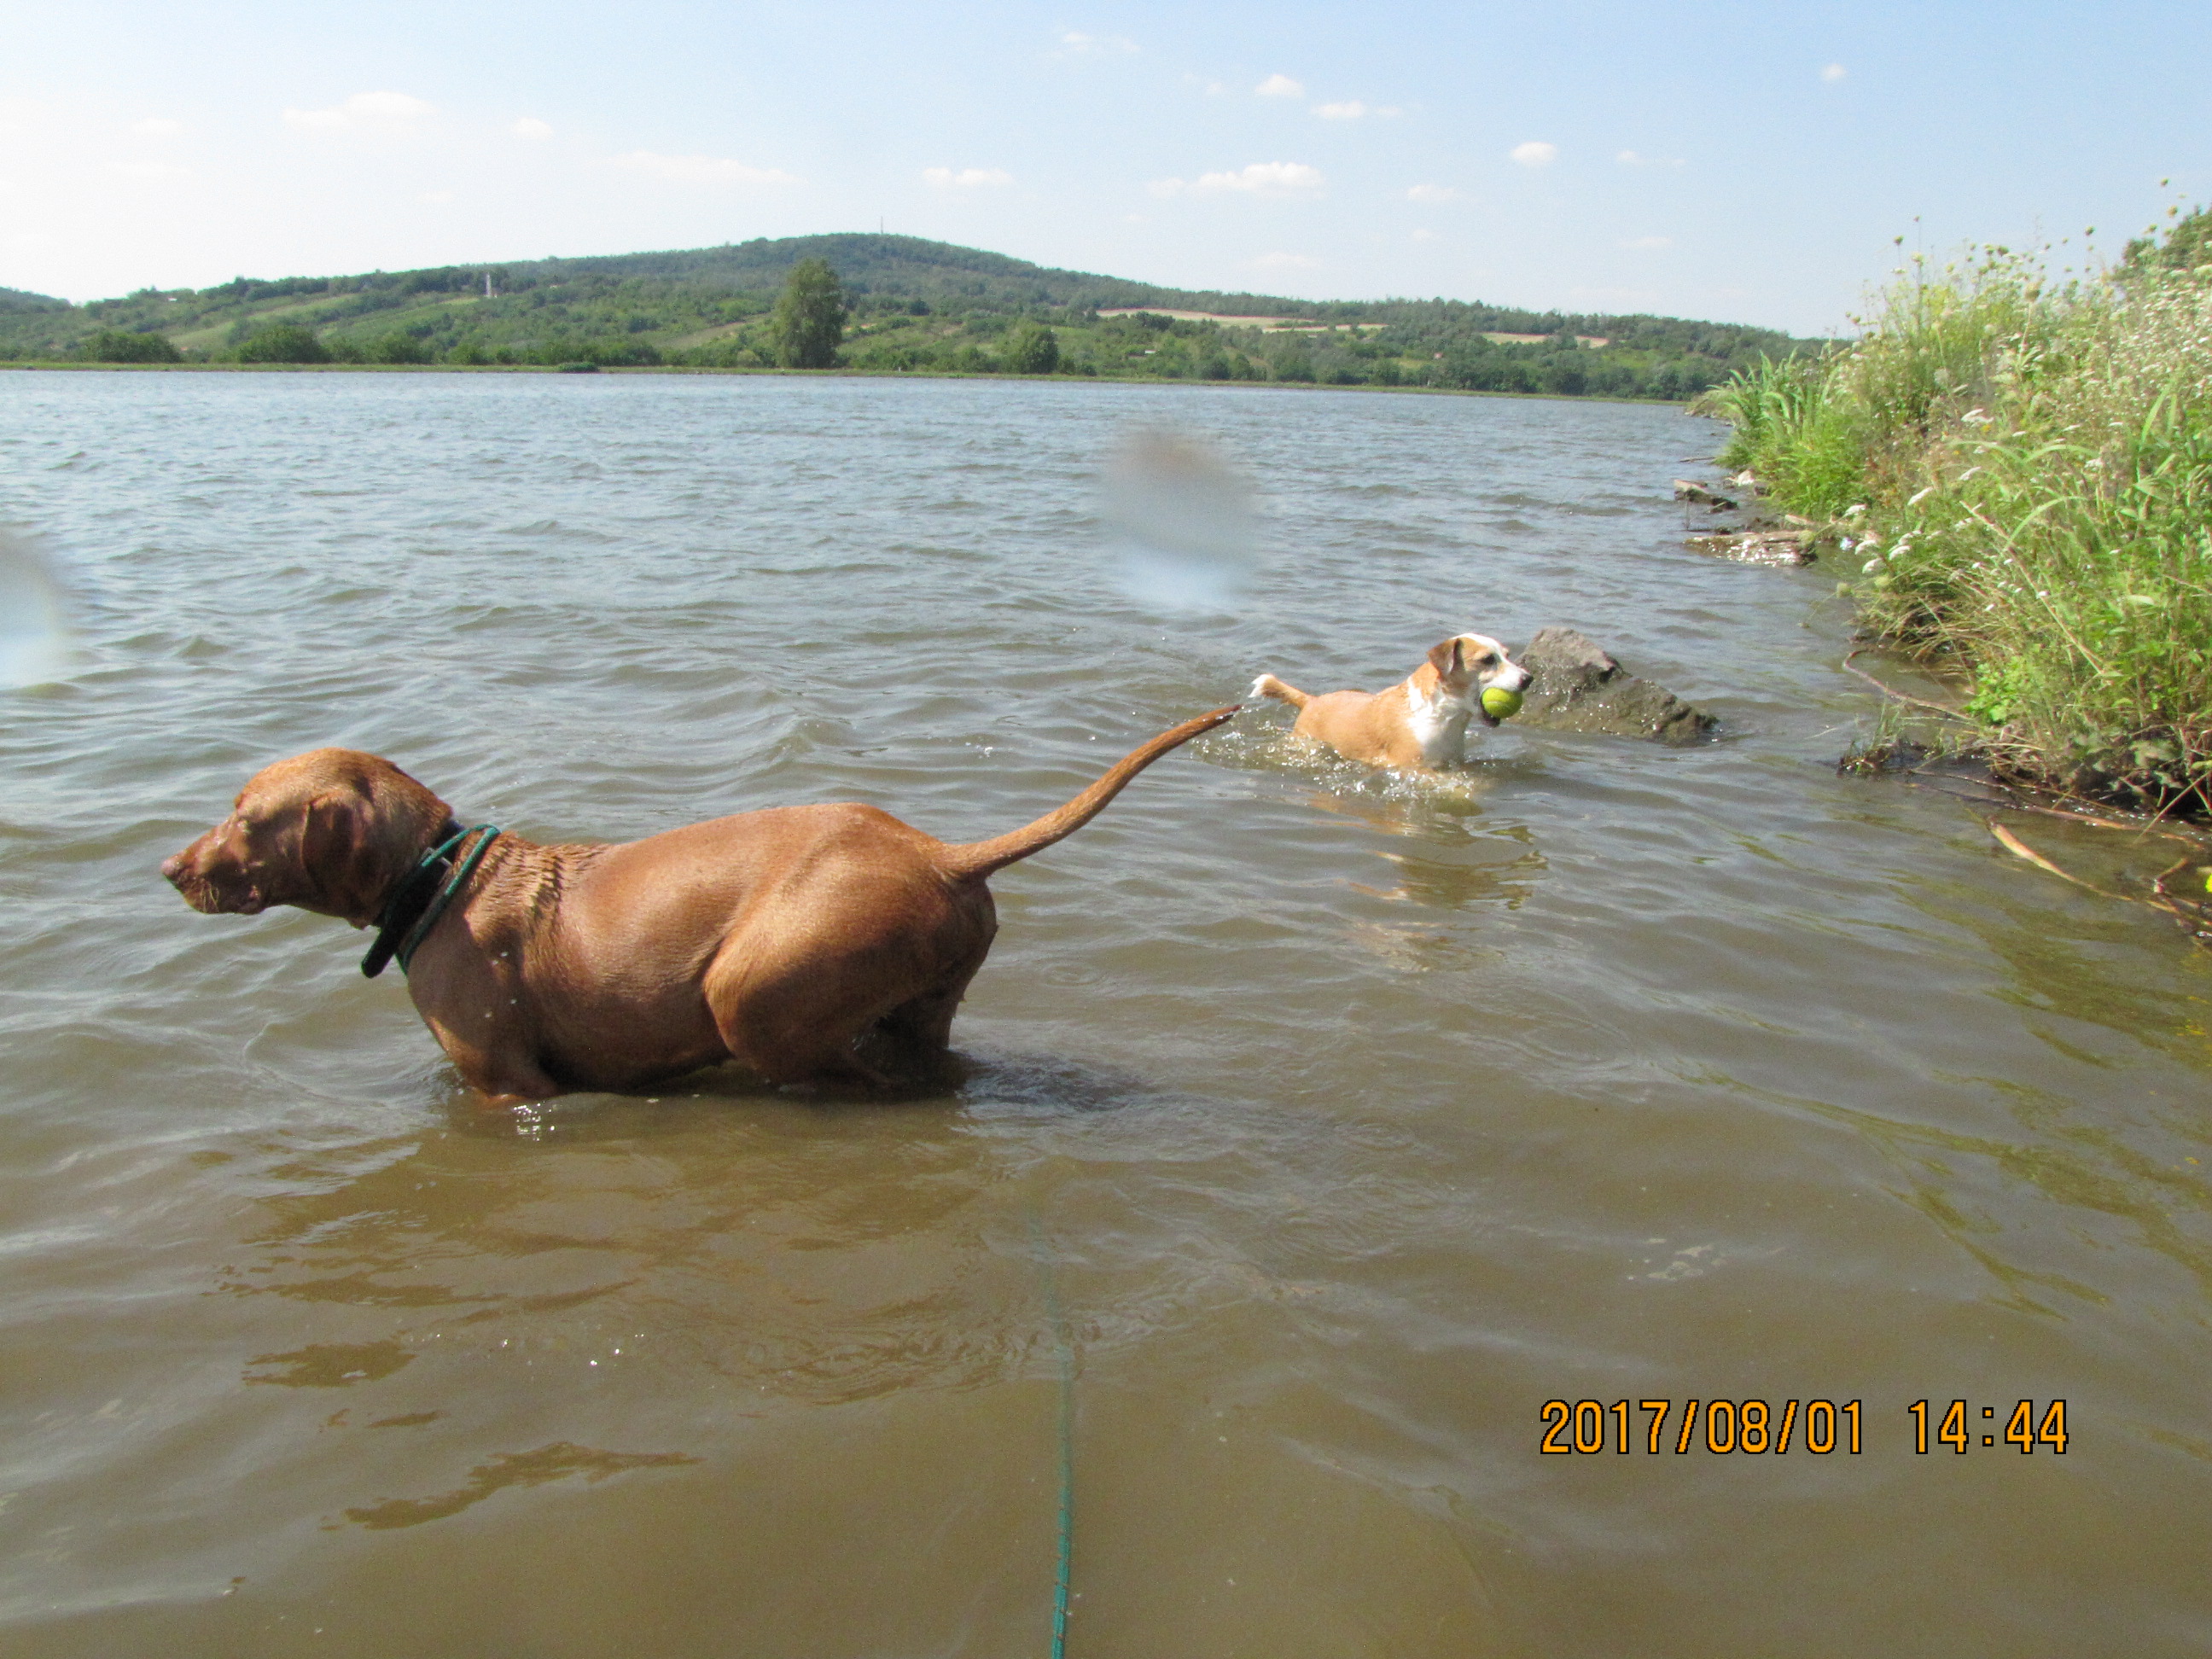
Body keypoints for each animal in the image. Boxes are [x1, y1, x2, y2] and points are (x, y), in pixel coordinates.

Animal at [163, 703, 1238, 1106]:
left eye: (243, 817)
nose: (171, 868)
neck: (437, 875)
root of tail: (938, 853)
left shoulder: (510, 1084)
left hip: (752, 995)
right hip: (925, 1000)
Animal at [1256, 637, 1530, 774]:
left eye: (1507, 655)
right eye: (1487, 660)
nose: (1528, 679)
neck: (1439, 715)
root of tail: (1312, 701)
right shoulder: (1412, 767)